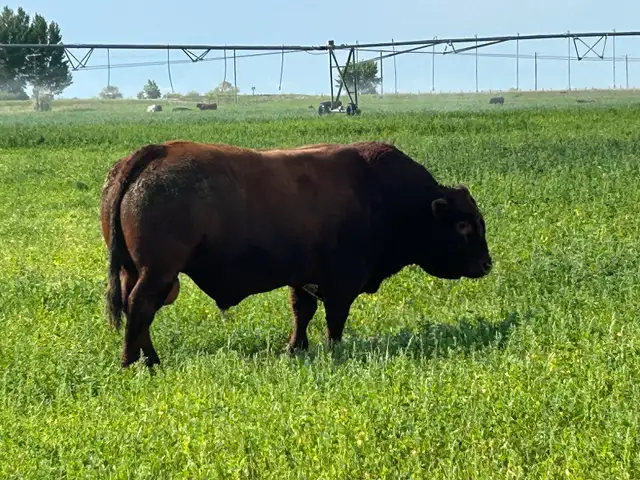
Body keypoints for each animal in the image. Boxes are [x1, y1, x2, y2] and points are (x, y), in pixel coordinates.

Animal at [100, 140, 492, 368]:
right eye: (463, 225)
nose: (486, 264)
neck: (382, 193)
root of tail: (154, 153)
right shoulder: (340, 283)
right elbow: (334, 318)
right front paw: (334, 350)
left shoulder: (303, 278)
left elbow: (302, 313)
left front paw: (295, 348)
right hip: (158, 272)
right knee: (140, 307)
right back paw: (136, 362)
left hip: (135, 271)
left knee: (137, 310)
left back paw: (145, 358)